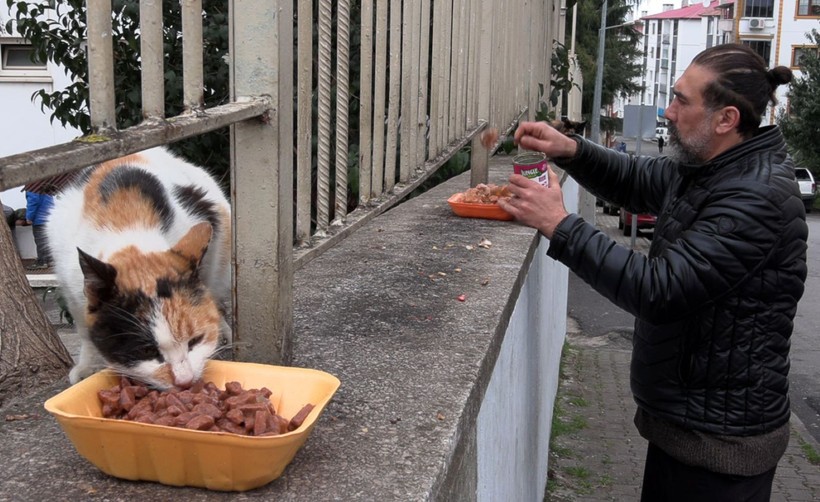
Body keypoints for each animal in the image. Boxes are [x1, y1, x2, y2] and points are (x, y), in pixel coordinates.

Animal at [47, 147, 231, 390]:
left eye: (194, 341)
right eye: (147, 351)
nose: (185, 381)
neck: (127, 220)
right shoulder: (70, 285)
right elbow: (85, 330)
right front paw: (88, 367)